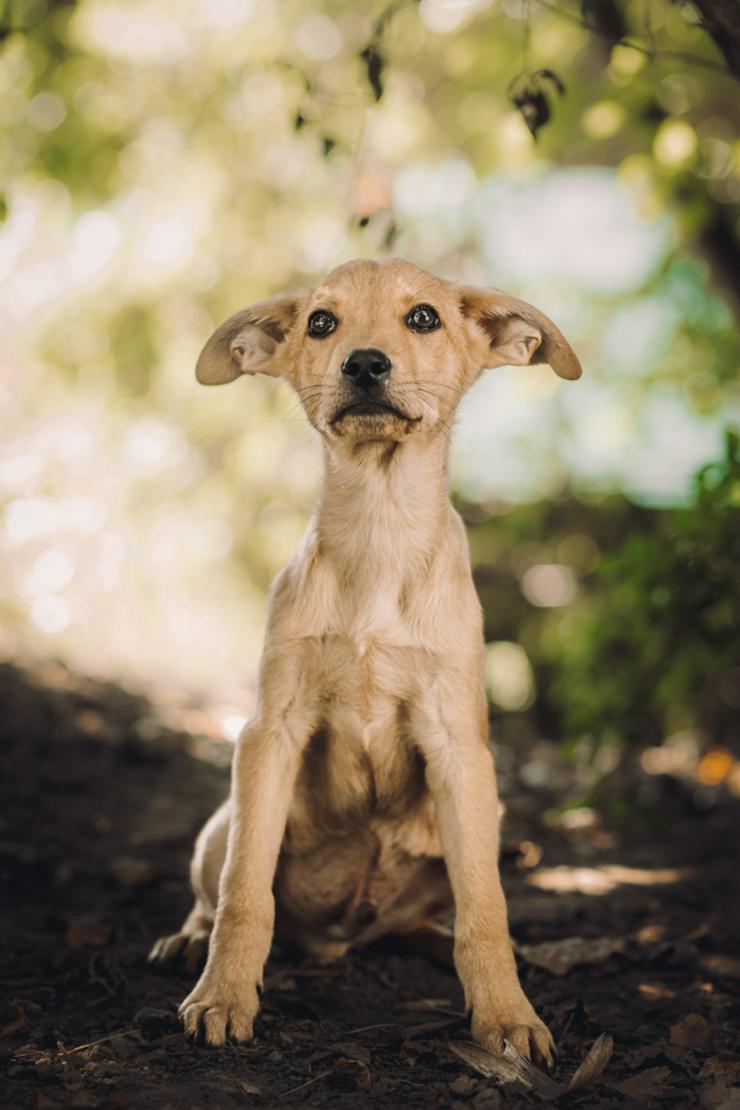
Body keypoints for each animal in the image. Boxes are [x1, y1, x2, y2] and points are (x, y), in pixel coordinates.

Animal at [148, 255, 576, 1061]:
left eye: (423, 318)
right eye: (322, 322)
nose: (365, 364)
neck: (379, 532)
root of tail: (338, 942)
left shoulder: (459, 748)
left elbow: (485, 910)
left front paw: (507, 1016)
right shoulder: (269, 734)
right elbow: (244, 893)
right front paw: (223, 996)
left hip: (481, 820)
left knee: (446, 909)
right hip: (222, 819)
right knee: (212, 889)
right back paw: (188, 941)